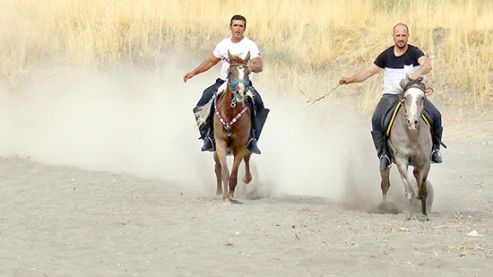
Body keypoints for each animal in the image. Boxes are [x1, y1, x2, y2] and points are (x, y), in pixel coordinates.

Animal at [213, 52, 254, 203]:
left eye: (248, 72)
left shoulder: (241, 146)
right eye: (230, 72)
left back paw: (247, 178)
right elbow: (225, 171)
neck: (230, 114)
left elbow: (234, 174)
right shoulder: (220, 143)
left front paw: (230, 195)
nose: (240, 92)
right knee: (217, 168)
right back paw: (218, 192)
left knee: (247, 160)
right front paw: (225, 198)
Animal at [378, 78, 432, 220]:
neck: (412, 135)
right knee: (385, 184)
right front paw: (411, 216)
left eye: (422, 97)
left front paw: (424, 215)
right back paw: (384, 206)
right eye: (405, 97)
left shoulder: (426, 162)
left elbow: (423, 190)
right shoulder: (401, 160)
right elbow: (409, 191)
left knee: (417, 175)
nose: (412, 122)